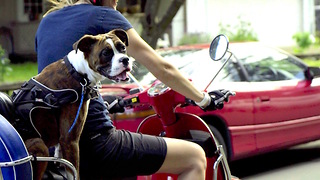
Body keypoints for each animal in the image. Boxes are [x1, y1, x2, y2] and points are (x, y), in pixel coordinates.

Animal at [10, 28, 130, 179]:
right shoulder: (70, 140)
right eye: (106, 53)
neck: (77, 71)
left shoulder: (63, 142)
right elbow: (74, 173)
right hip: (38, 144)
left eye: (123, 48)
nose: (125, 59)